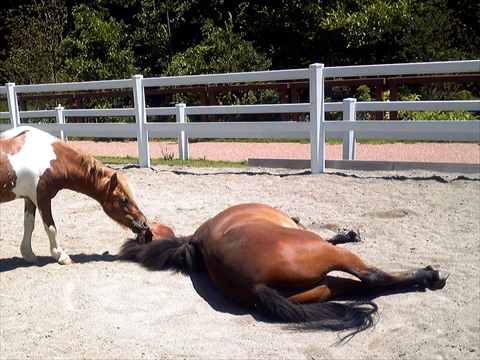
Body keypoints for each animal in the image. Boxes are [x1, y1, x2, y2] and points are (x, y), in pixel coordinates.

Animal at [120, 204, 450, 338]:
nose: (140, 223)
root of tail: (255, 288)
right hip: (328, 258)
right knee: (371, 276)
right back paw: (431, 275)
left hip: (322, 287)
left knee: (366, 286)